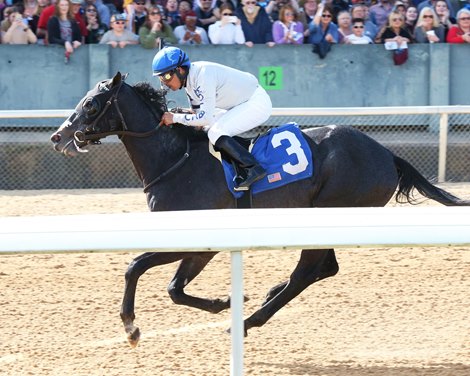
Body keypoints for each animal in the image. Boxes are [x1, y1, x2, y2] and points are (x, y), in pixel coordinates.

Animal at [49, 72, 468, 346]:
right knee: (324, 269)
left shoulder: (197, 240)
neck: (175, 160)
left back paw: (249, 321)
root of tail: (386, 153)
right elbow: (173, 288)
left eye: (90, 104)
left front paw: (132, 327)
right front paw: (226, 300)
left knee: (307, 273)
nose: (58, 136)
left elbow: (138, 268)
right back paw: (267, 295)